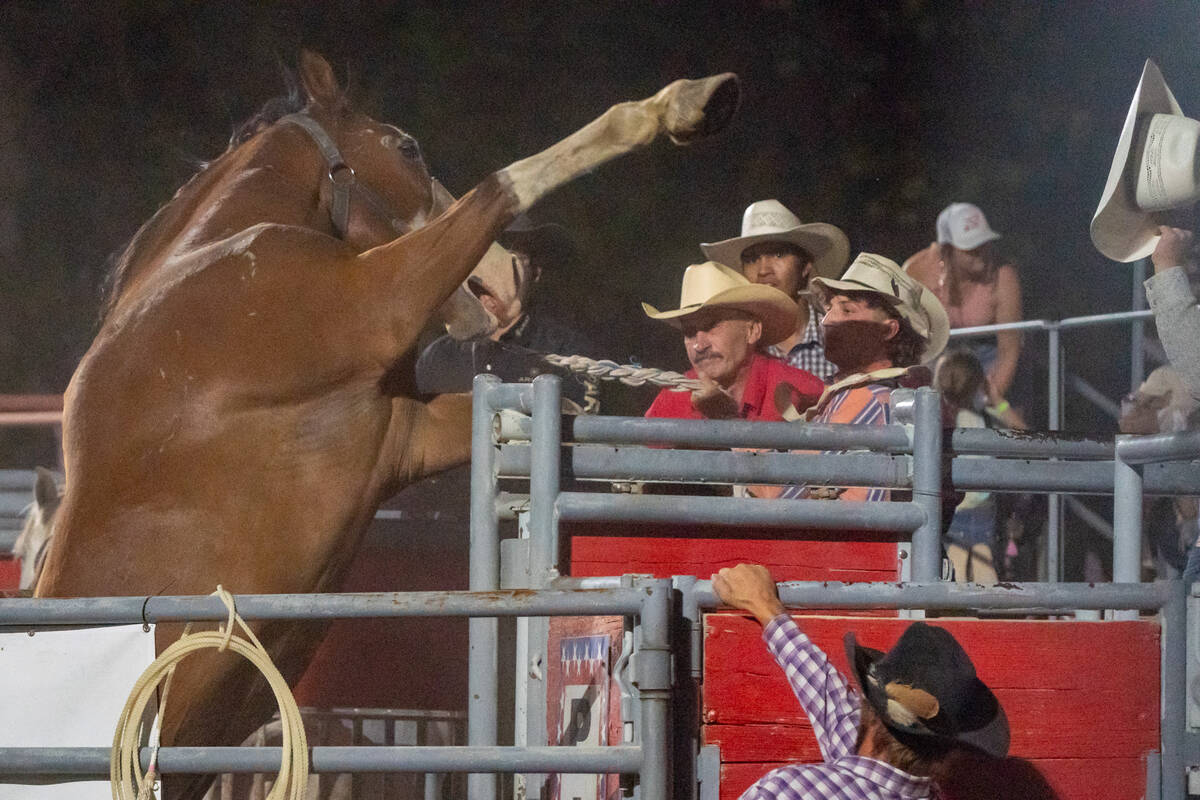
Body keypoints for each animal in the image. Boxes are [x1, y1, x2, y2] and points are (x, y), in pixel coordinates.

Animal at [32, 53, 734, 796]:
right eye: (407, 147)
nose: (510, 276)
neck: (202, 272)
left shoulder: (406, 434)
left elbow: (532, 416)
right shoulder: (383, 303)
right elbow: (503, 186)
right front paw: (678, 106)